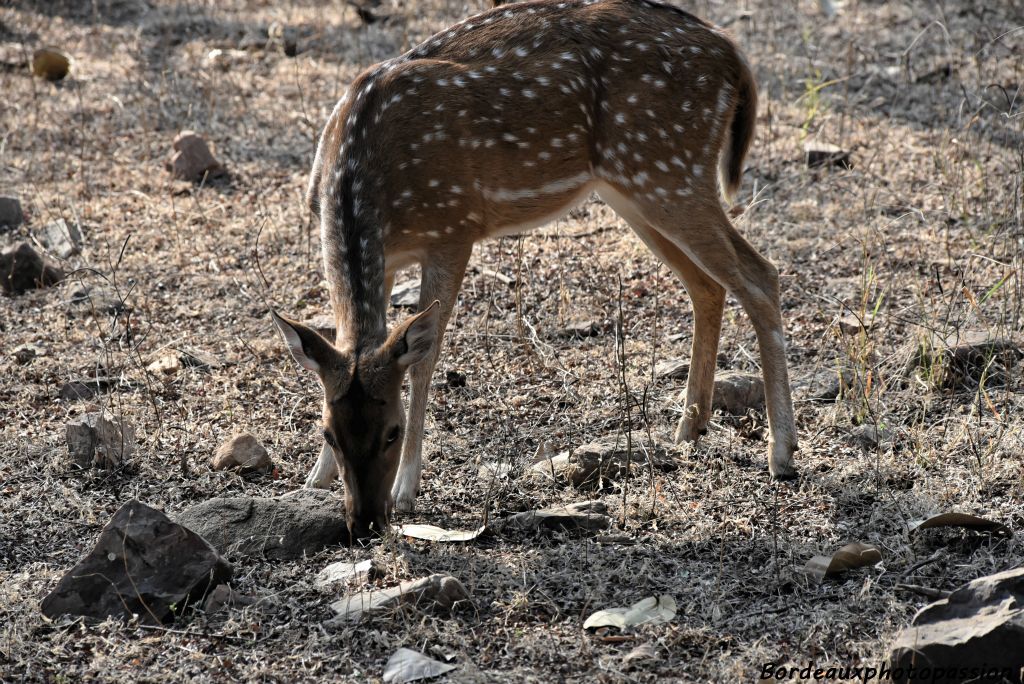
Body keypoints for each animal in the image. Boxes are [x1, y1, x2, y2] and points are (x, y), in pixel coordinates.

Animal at [272, 0, 798, 536]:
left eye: (392, 432)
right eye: (328, 432)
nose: (364, 522)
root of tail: (733, 54)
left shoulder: (453, 228)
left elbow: (424, 358)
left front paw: (407, 491)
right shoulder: (391, 257)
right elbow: (350, 345)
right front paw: (313, 480)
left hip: (671, 169)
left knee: (761, 274)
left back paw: (782, 453)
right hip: (636, 187)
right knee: (707, 285)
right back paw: (689, 426)